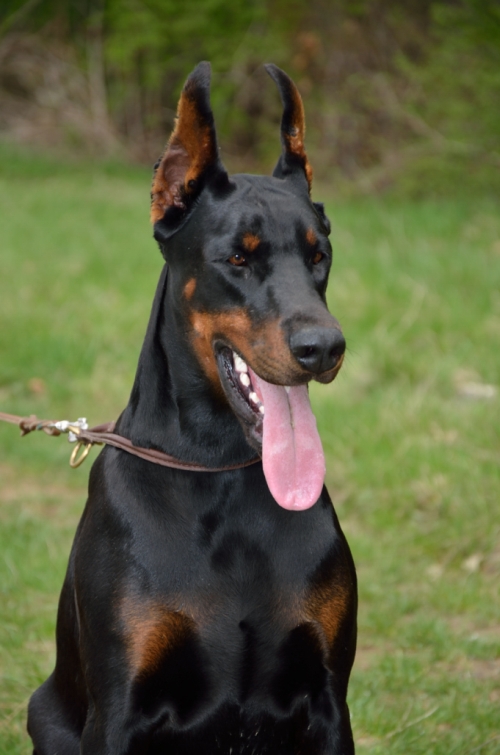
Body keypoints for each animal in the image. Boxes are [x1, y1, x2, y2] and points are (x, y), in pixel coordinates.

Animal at [27, 62, 357, 755]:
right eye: (237, 257)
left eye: (319, 255)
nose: (325, 347)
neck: (220, 473)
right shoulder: (117, 711)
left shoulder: (329, 701)